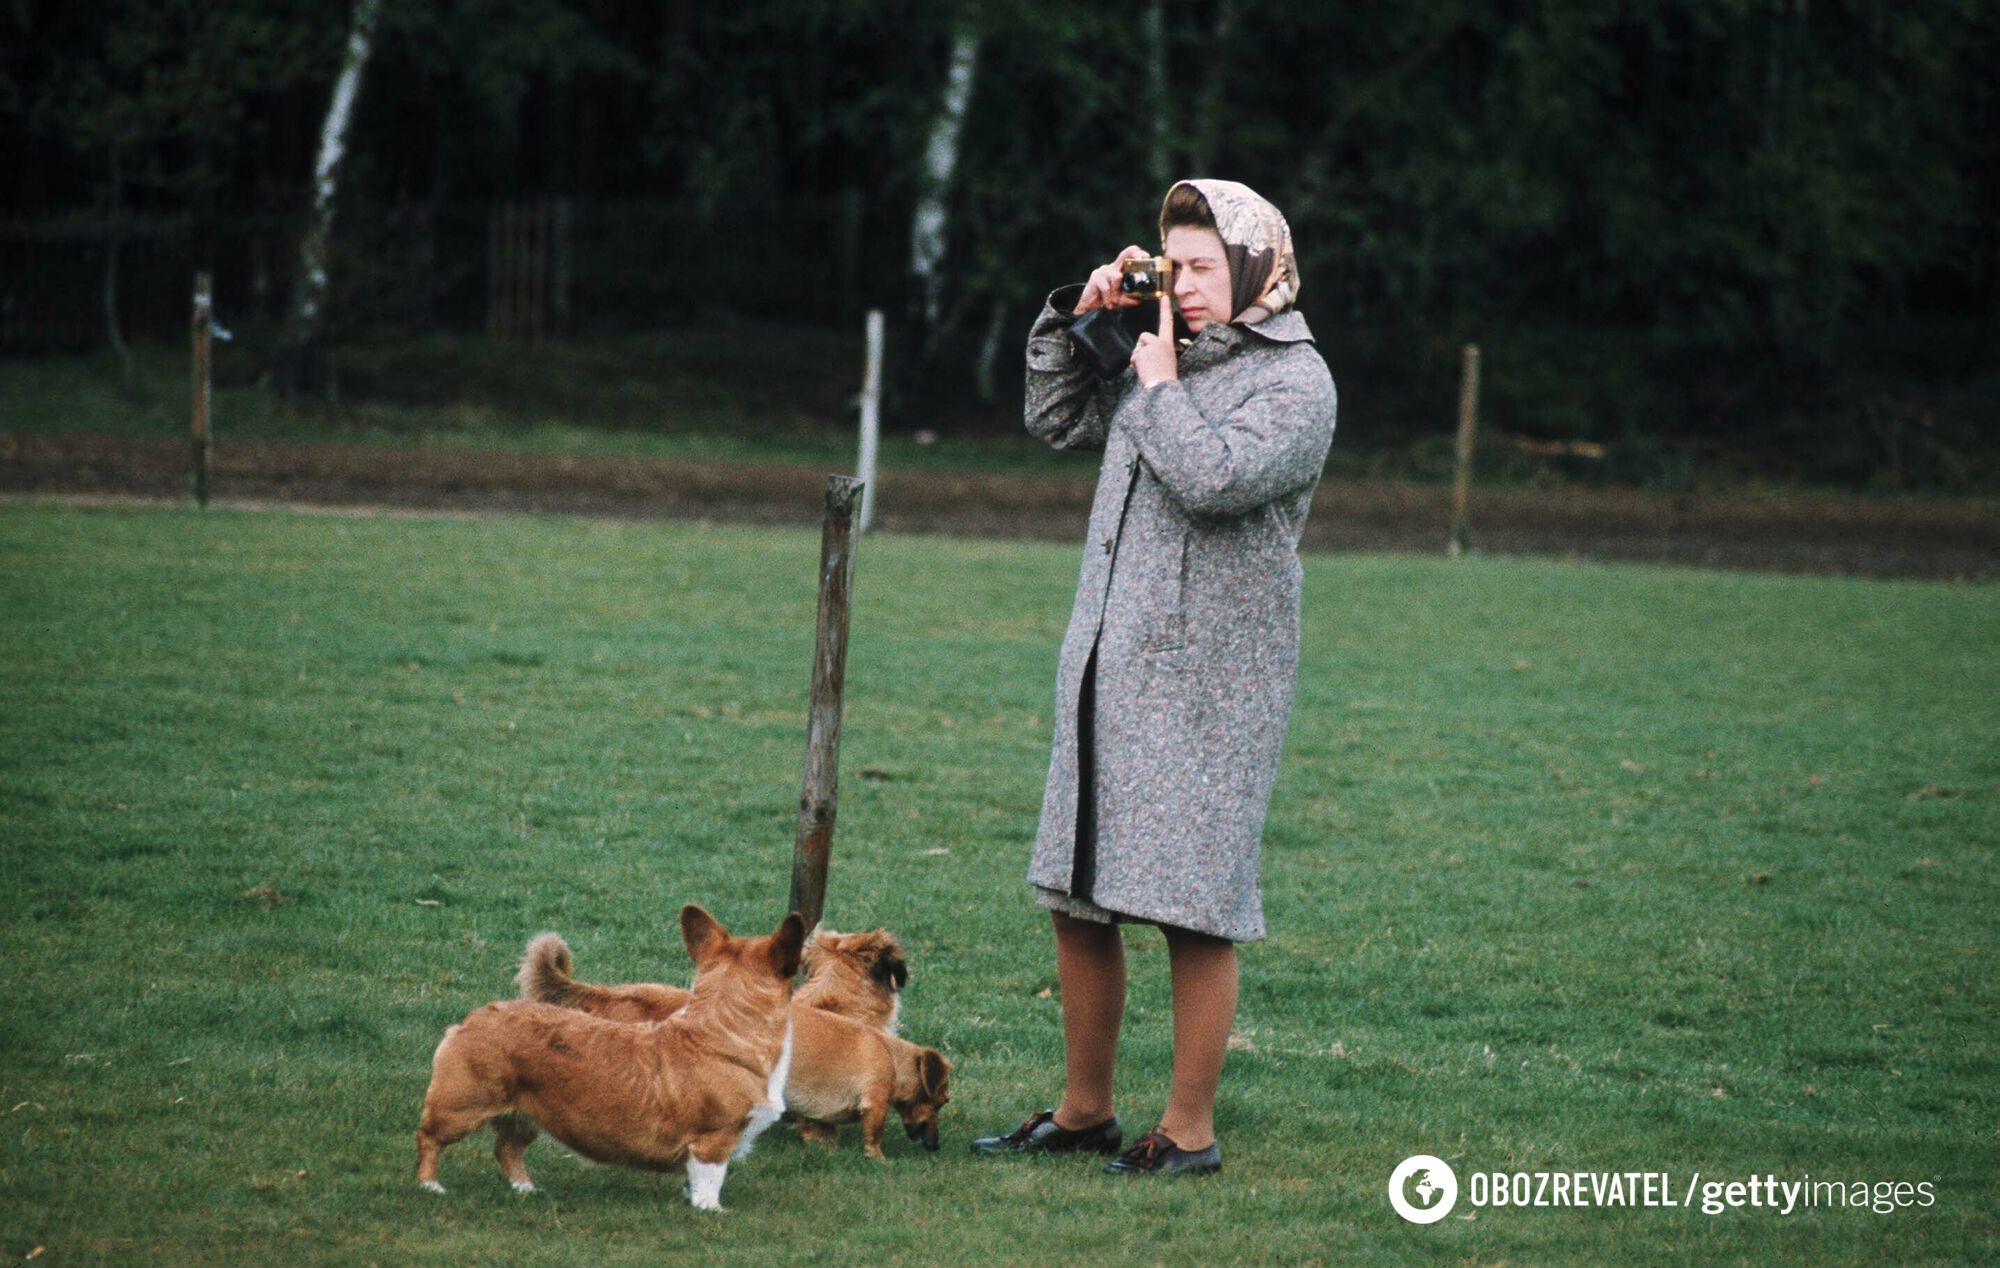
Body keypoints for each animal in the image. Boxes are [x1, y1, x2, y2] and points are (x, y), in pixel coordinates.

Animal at [414, 900, 804, 1208]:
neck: (724, 1031)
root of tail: (470, 1020)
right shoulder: (714, 1140)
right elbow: (710, 1180)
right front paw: (711, 1210)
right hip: (461, 1108)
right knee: (428, 1138)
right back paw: (430, 1186)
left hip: (527, 1116)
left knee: (506, 1149)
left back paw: (526, 1189)